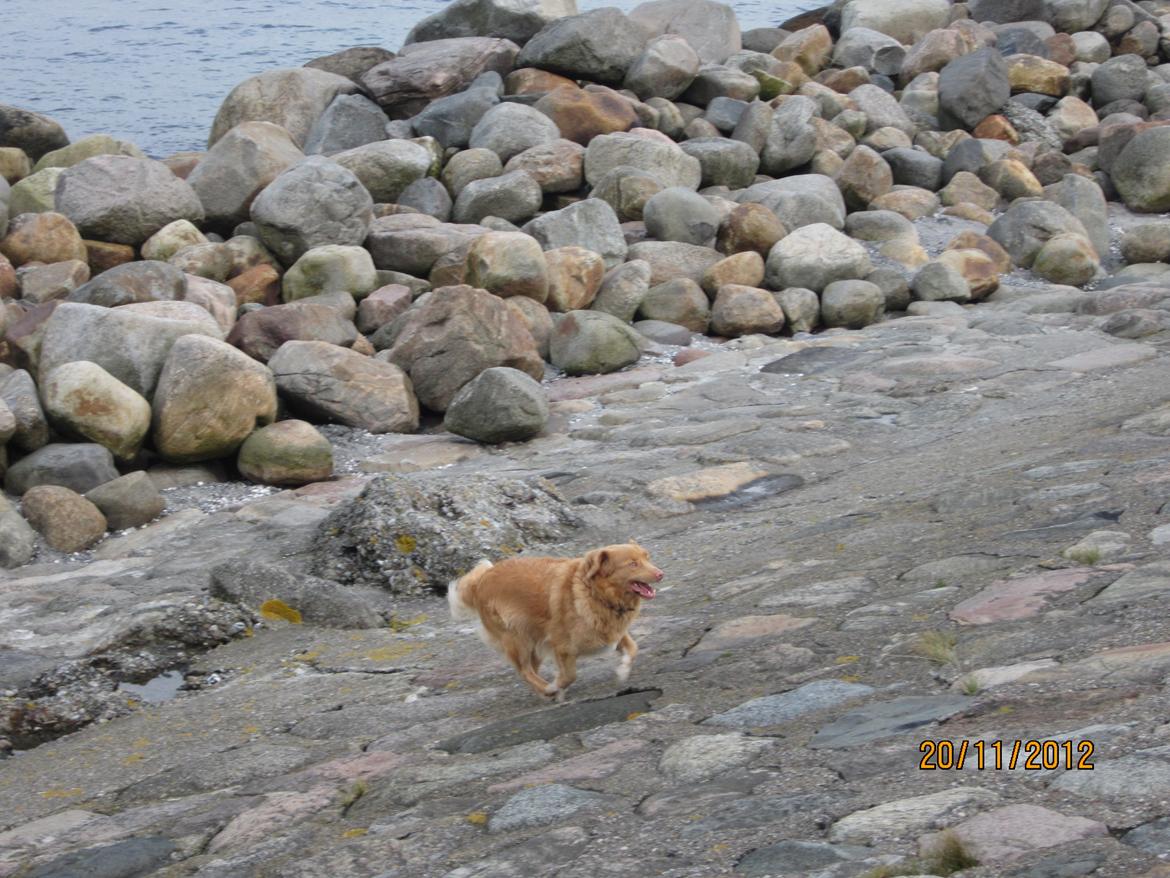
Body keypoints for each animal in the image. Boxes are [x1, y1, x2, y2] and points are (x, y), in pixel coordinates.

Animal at [449, 543, 669, 702]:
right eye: (632, 564)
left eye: (647, 558)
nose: (661, 574)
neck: (595, 593)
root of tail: (479, 582)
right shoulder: (562, 646)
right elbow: (569, 675)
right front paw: (555, 685)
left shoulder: (611, 632)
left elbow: (633, 648)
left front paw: (623, 670)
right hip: (517, 638)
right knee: (524, 670)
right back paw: (547, 689)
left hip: (532, 643)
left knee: (530, 670)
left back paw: (543, 692)